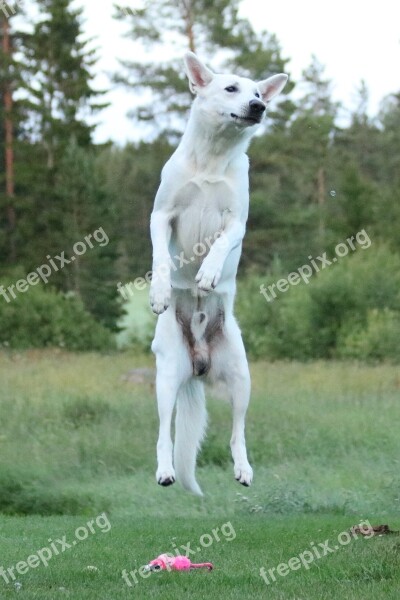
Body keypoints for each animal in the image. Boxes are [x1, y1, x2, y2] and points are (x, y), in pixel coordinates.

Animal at [148, 51, 286, 494]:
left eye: (258, 92)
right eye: (231, 89)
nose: (259, 106)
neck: (212, 158)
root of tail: (199, 362)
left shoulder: (237, 222)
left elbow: (222, 243)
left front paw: (208, 273)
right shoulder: (161, 216)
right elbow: (160, 257)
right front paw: (159, 292)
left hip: (242, 378)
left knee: (237, 431)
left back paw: (243, 469)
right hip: (166, 380)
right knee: (164, 432)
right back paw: (165, 471)